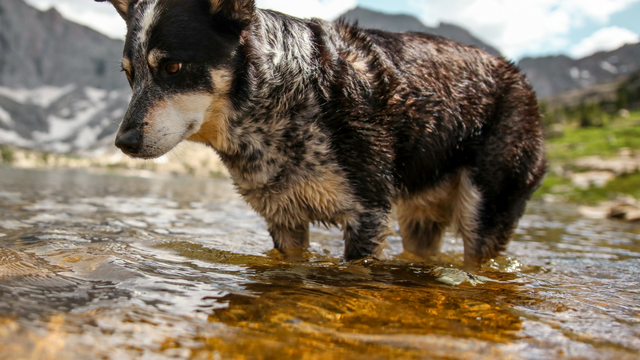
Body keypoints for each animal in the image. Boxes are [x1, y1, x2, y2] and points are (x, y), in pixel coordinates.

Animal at [97, 0, 548, 268]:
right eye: (130, 75)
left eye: (172, 67)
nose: (123, 142)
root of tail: (521, 80)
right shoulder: (284, 219)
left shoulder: (368, 216)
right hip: (419, 220)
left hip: (483, 211)